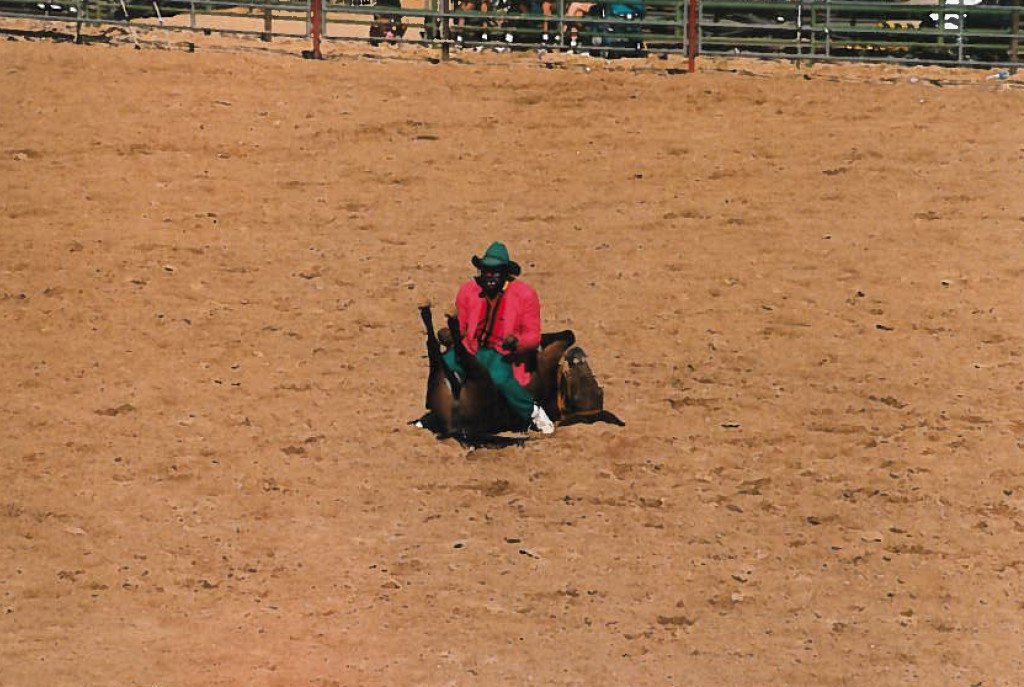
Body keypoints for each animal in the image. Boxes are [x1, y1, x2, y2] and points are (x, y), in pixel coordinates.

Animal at [416, 303, 613, 440]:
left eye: (578, 392)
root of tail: (453, 427)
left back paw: (444, 322)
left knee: (445, 351)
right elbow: (565, 335)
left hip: (478, 375)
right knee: (435, 349)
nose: (578, 356)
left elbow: (566, 337)